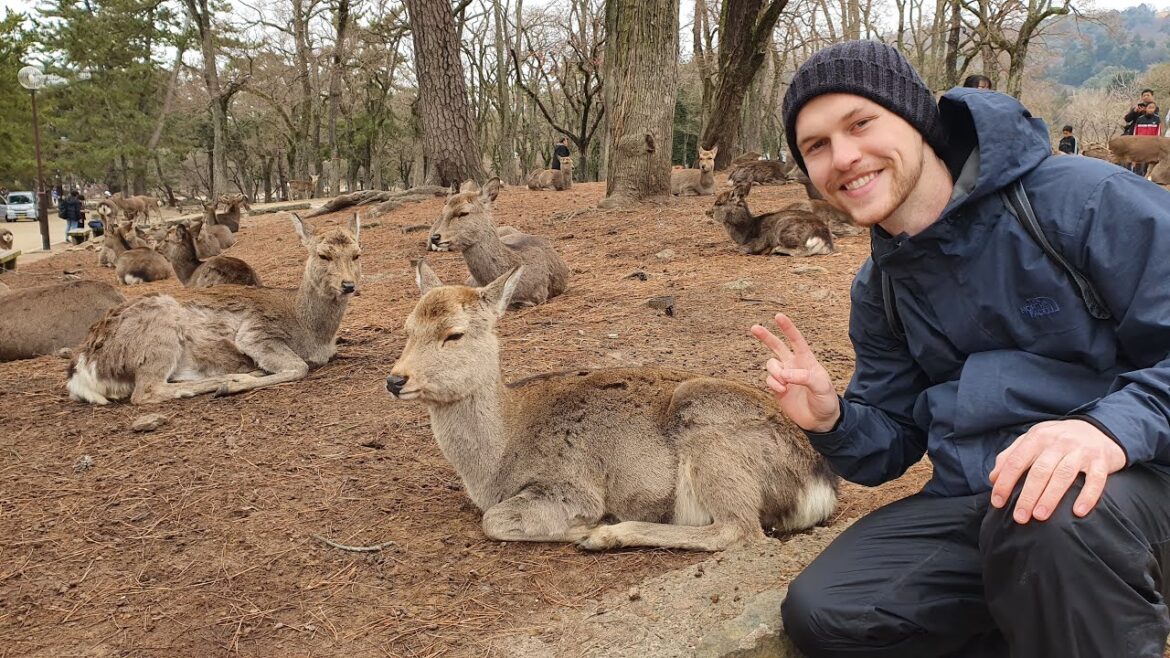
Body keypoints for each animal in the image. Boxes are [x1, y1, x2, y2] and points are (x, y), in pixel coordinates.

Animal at [67, 213, 360, 405]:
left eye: (357, 254)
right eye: (323, 255)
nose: (348, 285)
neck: (314, 333)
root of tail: (82, 368)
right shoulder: (256, 332)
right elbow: (300, 367)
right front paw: (236, 383)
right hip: (158, 335)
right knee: (146, 392)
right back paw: (226, 380)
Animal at [385, 261, 837, 551]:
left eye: (454, 334)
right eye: (407, 328)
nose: (395, 380)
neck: (495, 462)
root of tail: (822, 486)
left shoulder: (570, 485)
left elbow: (492, 520)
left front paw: (585, 528)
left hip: (711, 433)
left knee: (738, 530)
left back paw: (605, 535)